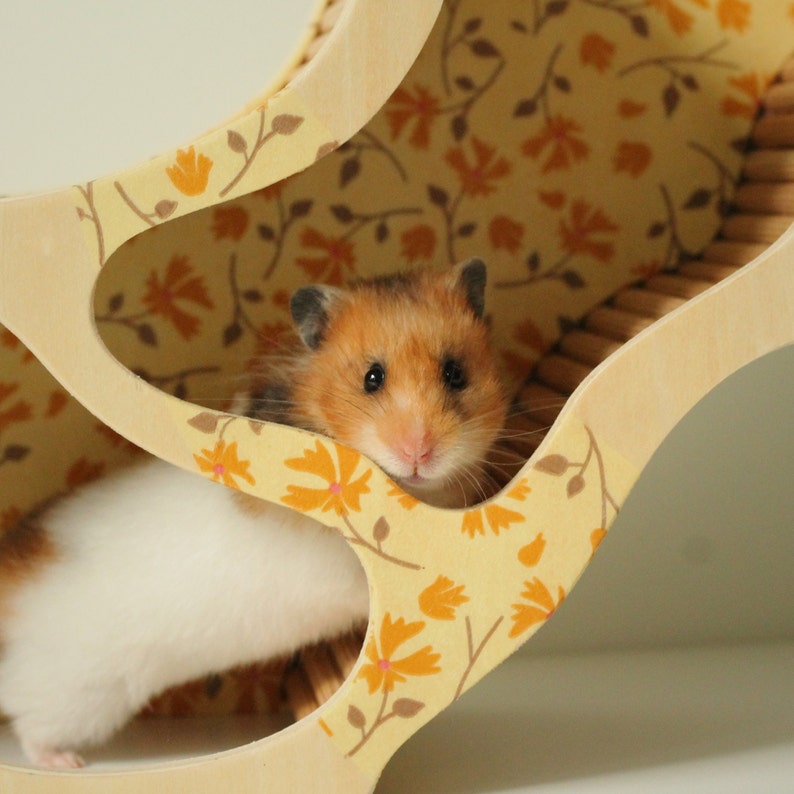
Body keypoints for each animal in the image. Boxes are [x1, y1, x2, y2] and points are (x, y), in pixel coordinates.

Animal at [0, 258, 508, 769]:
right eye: (372, 377)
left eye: (455, 373)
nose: (419, 453)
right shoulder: (333, 570)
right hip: (76, 693)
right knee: (30, 723)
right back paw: (64, 762)